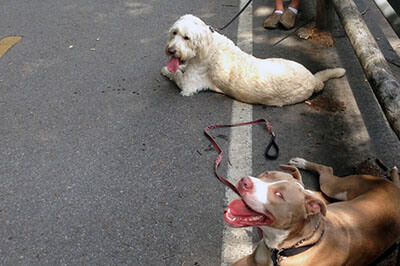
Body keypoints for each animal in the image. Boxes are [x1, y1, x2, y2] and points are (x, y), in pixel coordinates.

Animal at [161, 14, 346, 106]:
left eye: (187, 37)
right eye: (174, 33)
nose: (171, 50)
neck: (207, 45)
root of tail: (313, 80)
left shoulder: (188, 85)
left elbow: (175, 74)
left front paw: (166, 70)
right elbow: (180, 69)